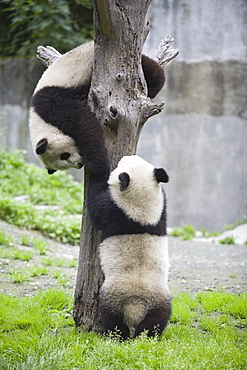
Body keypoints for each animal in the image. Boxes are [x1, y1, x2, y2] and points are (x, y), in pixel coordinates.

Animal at [29, 41, 165, 174]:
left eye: (64, 155)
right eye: (63, 164)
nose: (79, 164)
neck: (40, 120)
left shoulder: (53, 104)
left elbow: (84, 124)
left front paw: (99, 165)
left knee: (151, 70)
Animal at [88, 155, 171, 340]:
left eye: (122, 164)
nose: (127, 156)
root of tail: (135, 306)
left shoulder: (114, 210)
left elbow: (95, 204)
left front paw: (98, 168)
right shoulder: (160, 213)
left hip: (114, 295)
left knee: (112, 319)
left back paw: (118, 337)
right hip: (159, 300)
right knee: (156, 321)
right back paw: (146, 338)